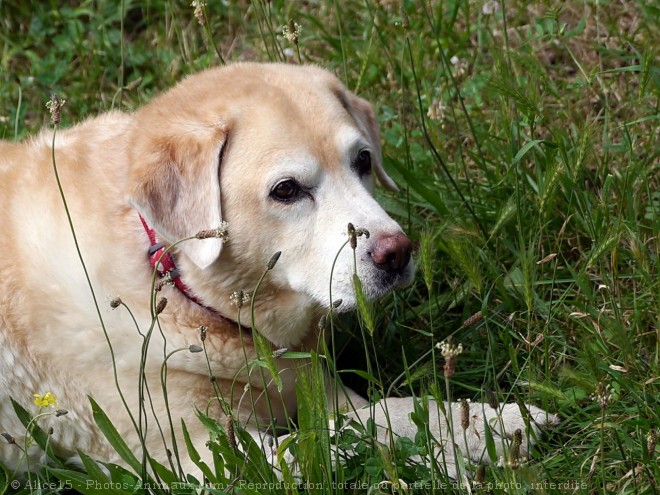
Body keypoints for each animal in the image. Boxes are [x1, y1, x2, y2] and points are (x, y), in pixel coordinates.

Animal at [0, 62, 556, 480]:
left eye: (363, 161)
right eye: (286, 190)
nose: (397, 253)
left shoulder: (320, 387)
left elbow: (392, 413)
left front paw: (491, 423)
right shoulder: (202, 458)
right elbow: (335, 443)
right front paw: (463, 451)